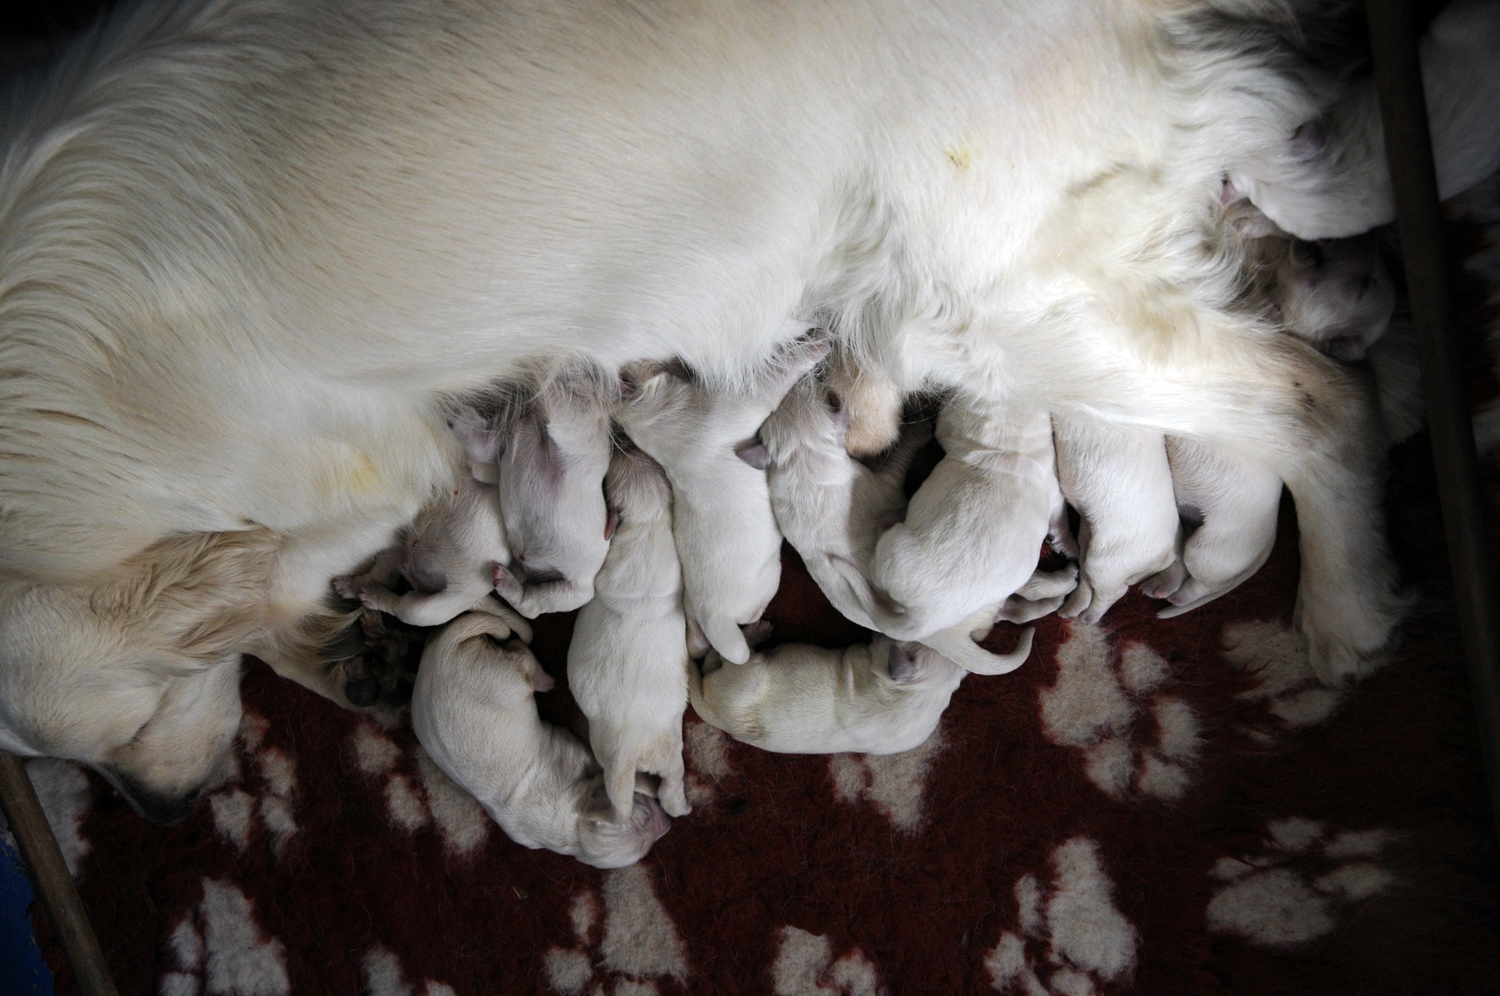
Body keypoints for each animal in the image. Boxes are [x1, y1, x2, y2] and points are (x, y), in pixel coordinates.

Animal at [411, 612, 671, 869]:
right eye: (645, 817)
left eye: (646, 850)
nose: (668, 824)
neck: (574, 824)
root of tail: (444, 649)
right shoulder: (570, 751)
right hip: (502, 680)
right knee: (519, 654)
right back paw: (543, 680)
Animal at [566, 446, 691, 822]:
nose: (626, 445)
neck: (647, 522)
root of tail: (628, 750)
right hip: (668, 751)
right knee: (668, 788)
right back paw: (680, 805)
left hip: (615, 748)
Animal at [615, 339, 828, 664]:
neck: (651, 418)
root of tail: (716, 617)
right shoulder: (737, 404)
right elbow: (775, 377)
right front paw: (817, 345)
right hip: (769, 580)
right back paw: (759, 632)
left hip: (692, 608)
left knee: (698, 643)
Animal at [689, 633, 966, 755]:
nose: (878, 630)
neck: (922, 693)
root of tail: (717, 717)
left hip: (746, 674)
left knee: (715, 662)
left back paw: (755, 633)